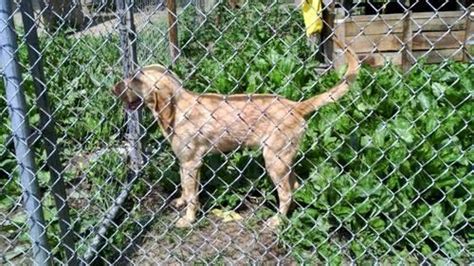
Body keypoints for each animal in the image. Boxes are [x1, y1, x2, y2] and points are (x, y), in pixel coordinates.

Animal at [115, 38, 358, 228]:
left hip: (274, 160)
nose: (113, 87)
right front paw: (182, 201)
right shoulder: (189, 163)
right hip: (283, 160)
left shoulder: (191, 162)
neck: (176, 107)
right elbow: (187, 188)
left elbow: (192, 195)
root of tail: (296, 106)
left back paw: (277, 221)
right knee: (295, 186)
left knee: (286, 193)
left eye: (135, 79)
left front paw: (188, 219)